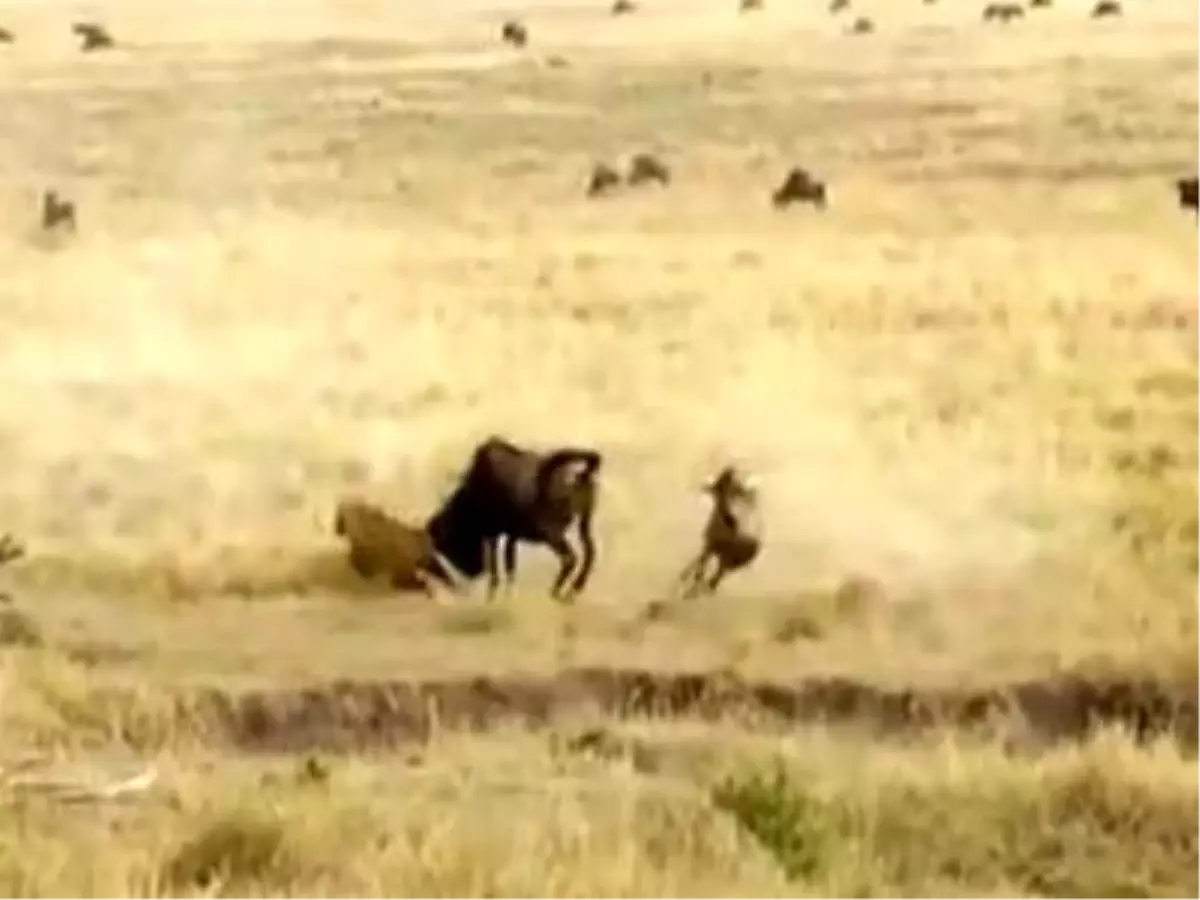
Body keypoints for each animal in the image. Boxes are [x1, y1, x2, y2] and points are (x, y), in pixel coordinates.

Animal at [427, 434, 604, 602]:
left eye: (448, 542)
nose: (475, 572)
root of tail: (580, 475)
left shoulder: (493, 533)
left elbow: (497, 569)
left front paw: (494, 597)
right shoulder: (511, 535)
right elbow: (509, 566)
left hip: (551, 533)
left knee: (570, 558)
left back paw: (556, 591)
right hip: (584, 523)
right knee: (590, 553)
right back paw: (574, 589)